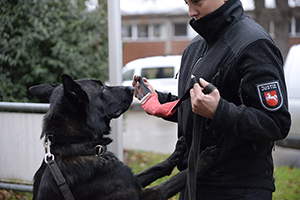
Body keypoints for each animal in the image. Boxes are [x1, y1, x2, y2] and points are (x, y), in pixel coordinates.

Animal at [29, 74, 218, 199]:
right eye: (102, 88)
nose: (131, 88)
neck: (80, 146)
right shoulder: (144, 195)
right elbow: (180, 177)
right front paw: (202, 160)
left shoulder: (134, 181)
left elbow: (157, 168)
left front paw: (177, 153)